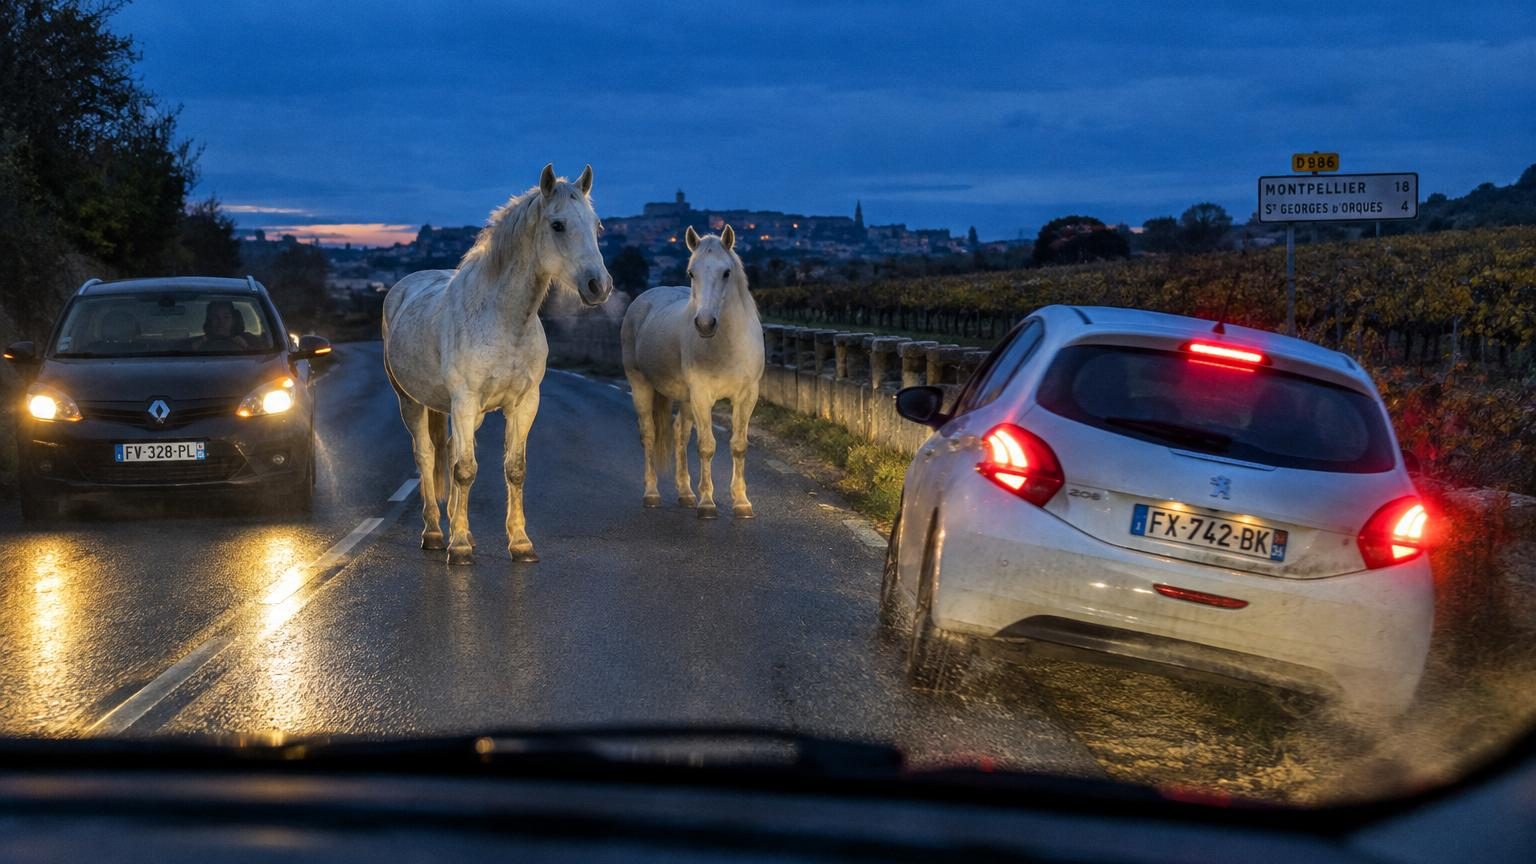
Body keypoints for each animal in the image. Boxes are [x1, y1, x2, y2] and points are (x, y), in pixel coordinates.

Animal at [382, 163, 612, 565]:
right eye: (557, 225)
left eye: (596, 225)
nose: (599, 286)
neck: (503, 320)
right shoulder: (464, 400)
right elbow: (464, 470)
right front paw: (459, 547)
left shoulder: (523, 403)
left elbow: (512, 470)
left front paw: (519, 542)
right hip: (411, 402)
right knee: (426, 456)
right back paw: (435, 533)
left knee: (452, 451)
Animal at [621, 225, 764, 519]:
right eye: (691, 273)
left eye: (726, 272)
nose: (705, 324)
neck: (727, 345)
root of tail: (643, 300)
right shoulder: (701, 395)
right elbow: (707, 446)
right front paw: (707, 503)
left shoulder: (747, 396)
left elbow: (739, 445)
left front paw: (741, 502)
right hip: (641, 385)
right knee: (649, 433)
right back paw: (652, 494)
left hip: (685, 398)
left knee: (679, 433)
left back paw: (686, 494)